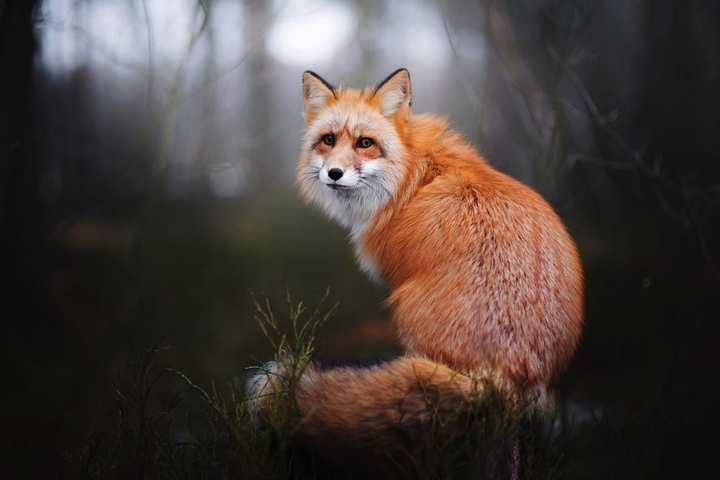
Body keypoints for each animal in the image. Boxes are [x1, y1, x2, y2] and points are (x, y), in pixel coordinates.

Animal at [248, 69, 584, 472]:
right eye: (328, 139)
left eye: (365, 143)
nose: (334, 173)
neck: (414, 174)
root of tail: (506, 373)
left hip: (407, 318)